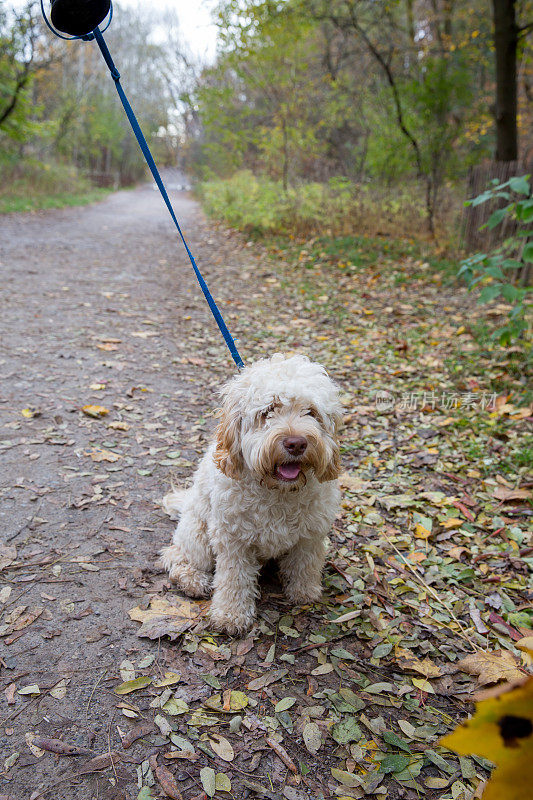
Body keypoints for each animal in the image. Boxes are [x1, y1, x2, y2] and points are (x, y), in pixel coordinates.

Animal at [159, 354, 340, 636]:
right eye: (268, 411)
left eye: (311, 412)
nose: (296, 443)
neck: (278, 491)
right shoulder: (233, 539)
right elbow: (234, 578)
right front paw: (230, 615)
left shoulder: (311, 534)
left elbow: (305, 564)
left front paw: (304, 591)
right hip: (197, 534)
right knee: (175, 557)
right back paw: (192, 580)